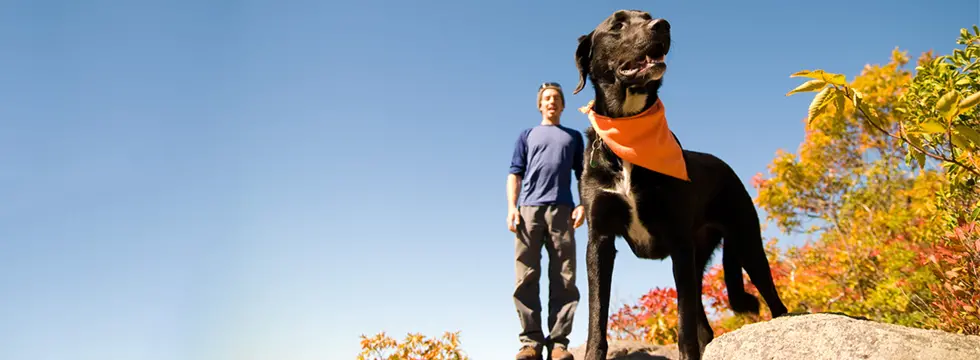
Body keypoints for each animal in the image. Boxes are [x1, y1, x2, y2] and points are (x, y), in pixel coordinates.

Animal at [572, 8, 792, 360]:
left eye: (647, 15)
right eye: (617, 24)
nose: (662, 25)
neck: (629, 132)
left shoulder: (678, 242)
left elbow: (683, 323)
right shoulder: (600, 241)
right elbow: (597, 314)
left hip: (744, 243)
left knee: (769, 296)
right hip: (699, 257)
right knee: (705, 324)